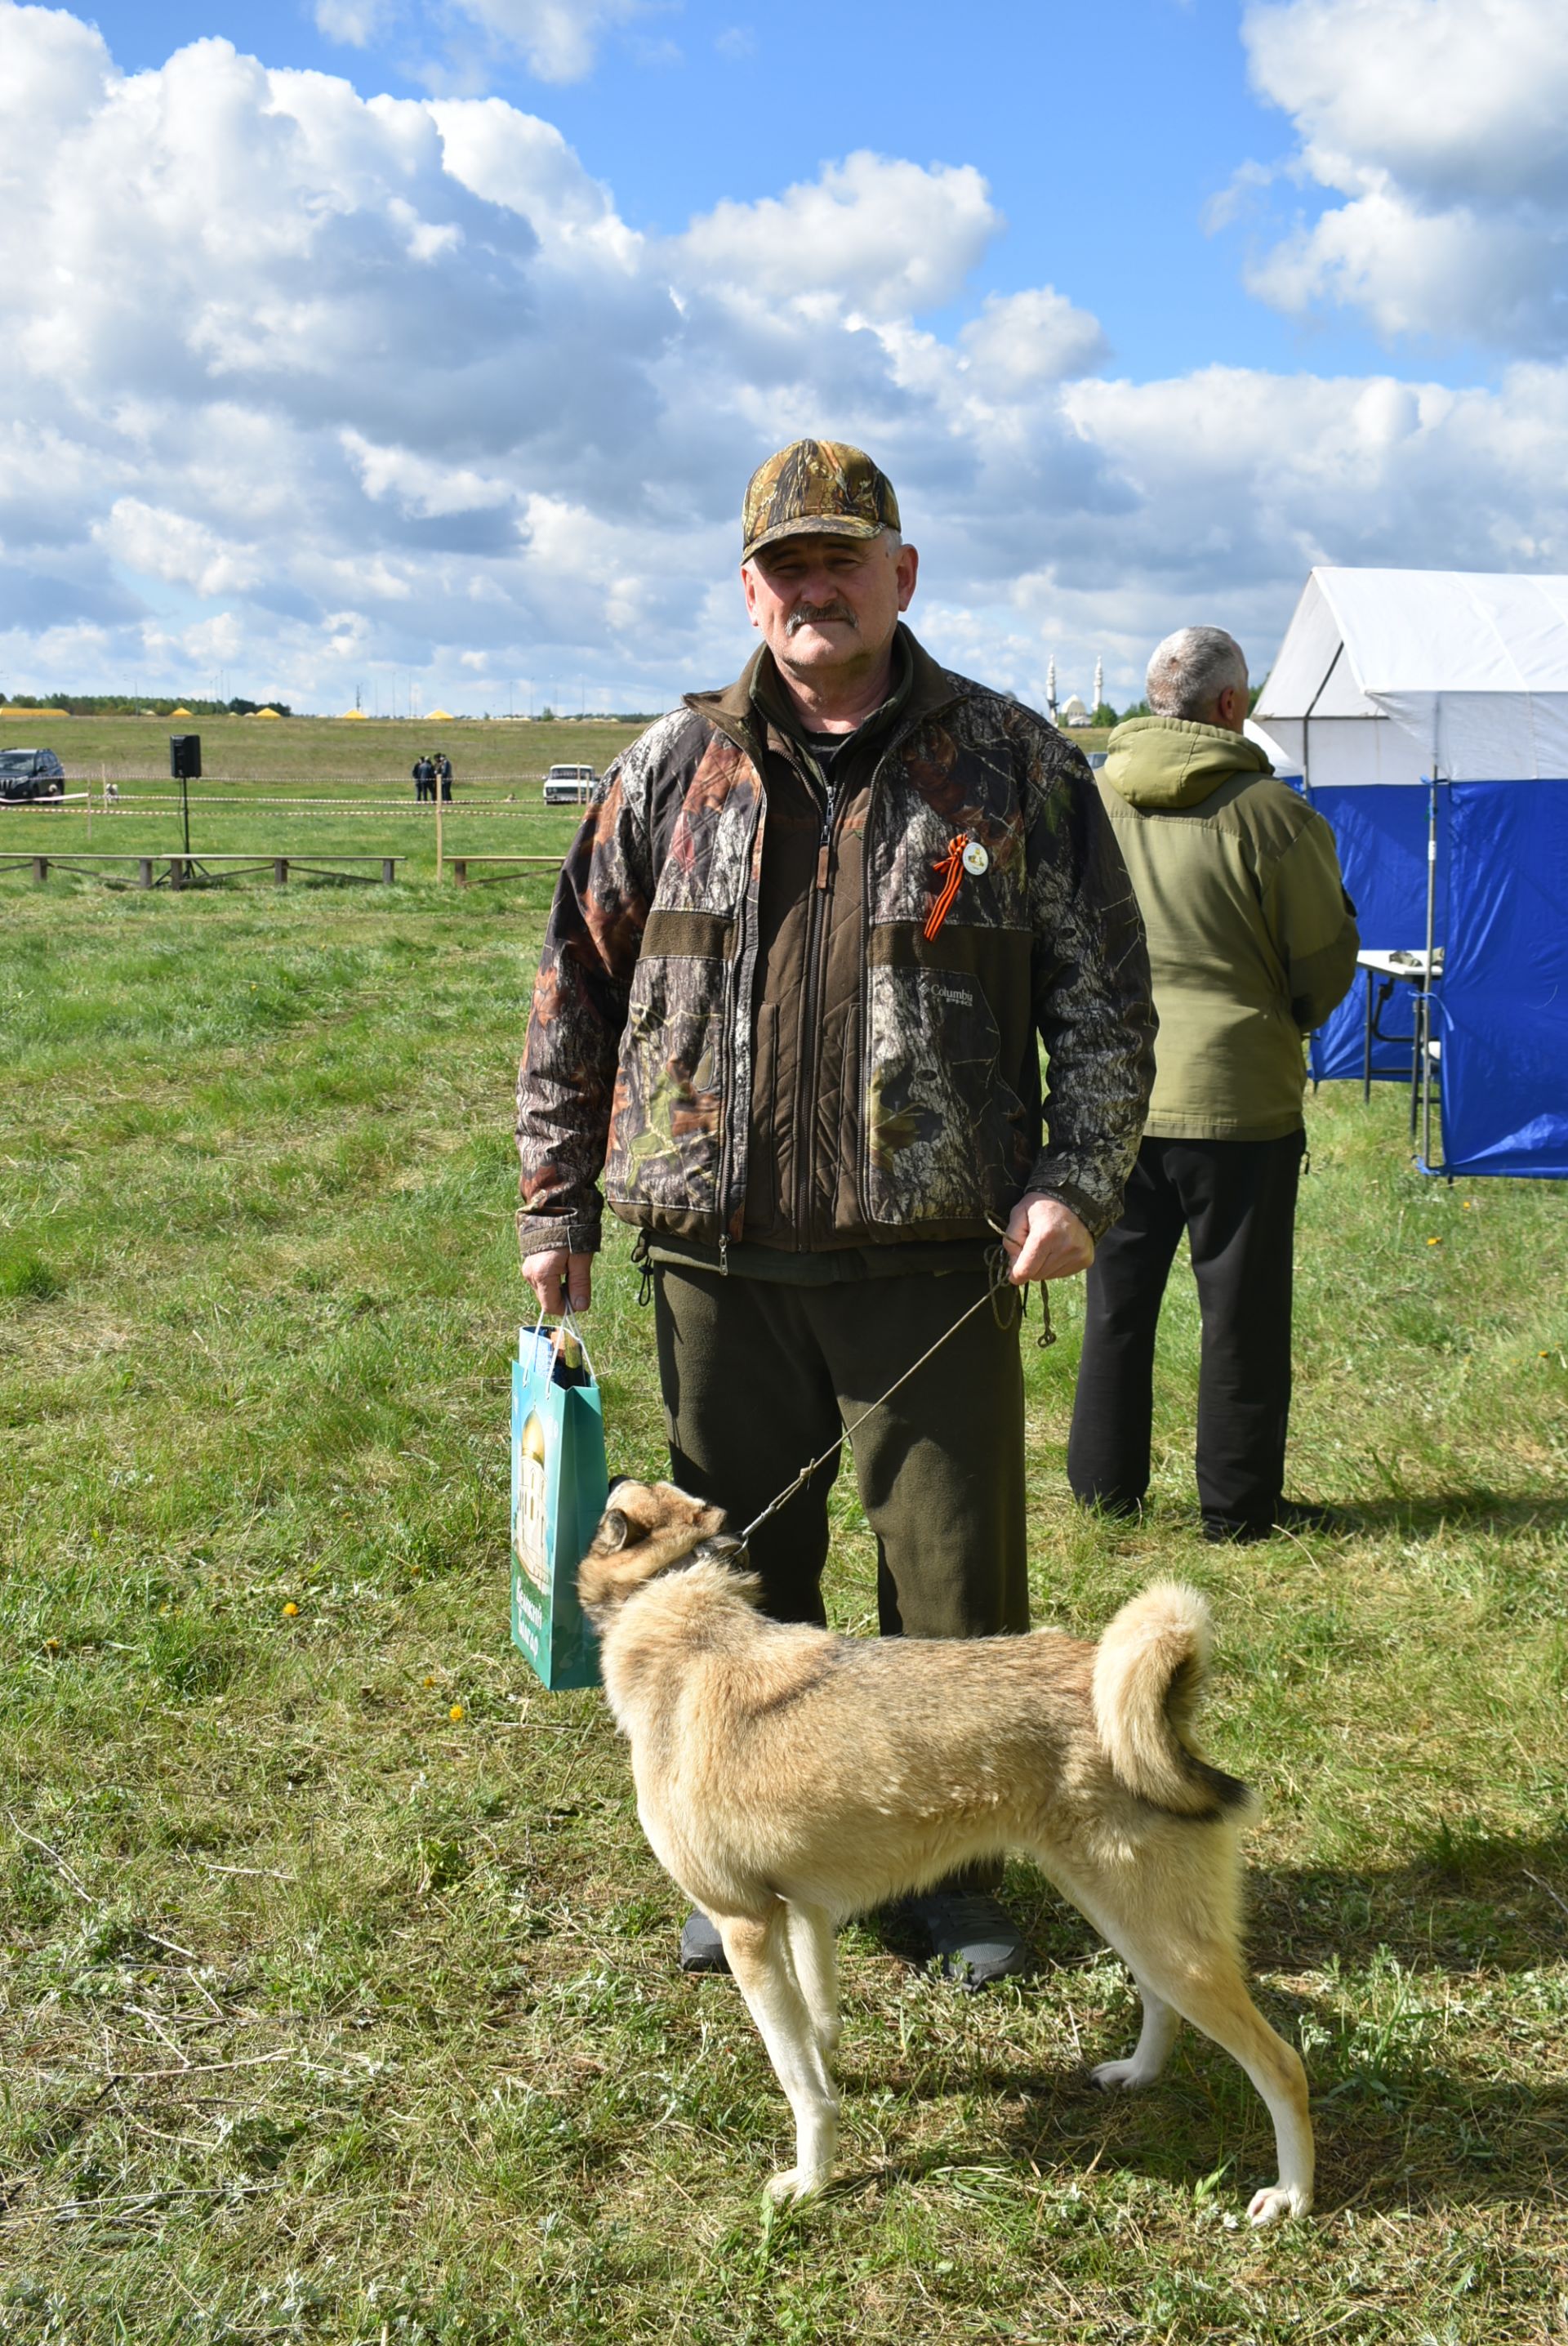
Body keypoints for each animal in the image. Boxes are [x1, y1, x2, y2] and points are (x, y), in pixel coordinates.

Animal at [574, 1473, 1312, 2223]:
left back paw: (1292, 2195)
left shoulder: (746, 1929)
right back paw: (1137, 2074)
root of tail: (1158, 1705)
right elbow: (816, 2029)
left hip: (1162, 1936)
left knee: (1283, 2066)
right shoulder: (804, 1912)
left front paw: (810, 2181)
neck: (677, 1605)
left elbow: (801, 2085)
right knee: (1161, 2004)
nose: (610, 1474)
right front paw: (830, 2082)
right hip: (1124, 1914)